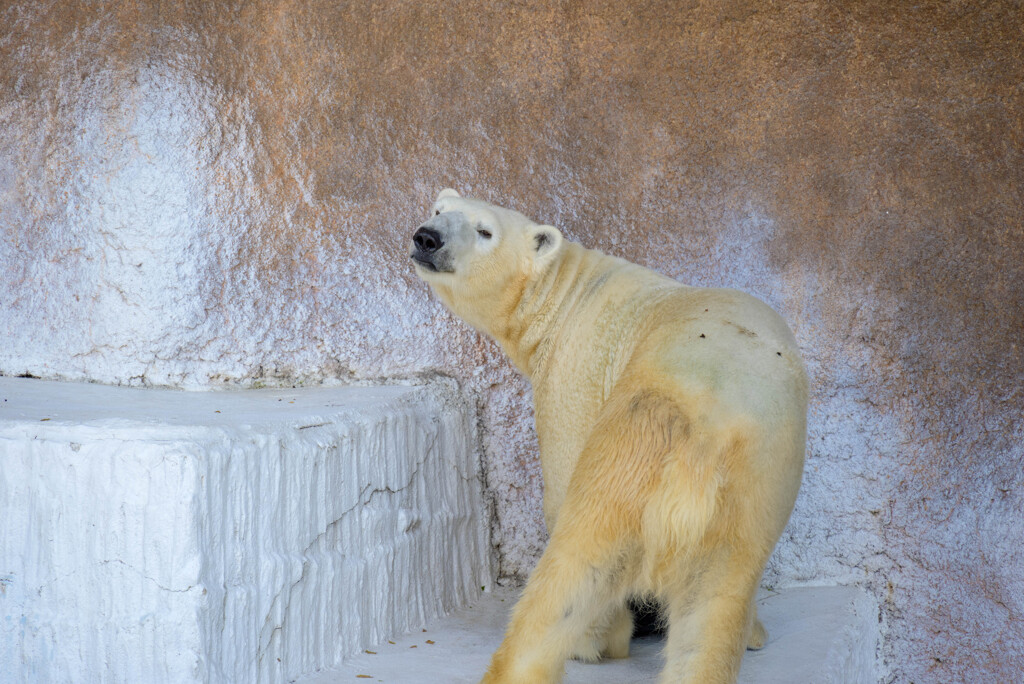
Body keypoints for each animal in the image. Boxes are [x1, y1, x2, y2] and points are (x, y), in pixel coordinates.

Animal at [409, 188, 806, 684]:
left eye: (485, 231)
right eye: (438, 211)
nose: (427, 238)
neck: (568, 293)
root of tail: (704, 439)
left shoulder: (577, 371)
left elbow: (562, 484)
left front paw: (595, 641)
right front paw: (756, 634)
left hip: (633, 447)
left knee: (579, 561)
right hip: (754, 483)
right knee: (714, 599)